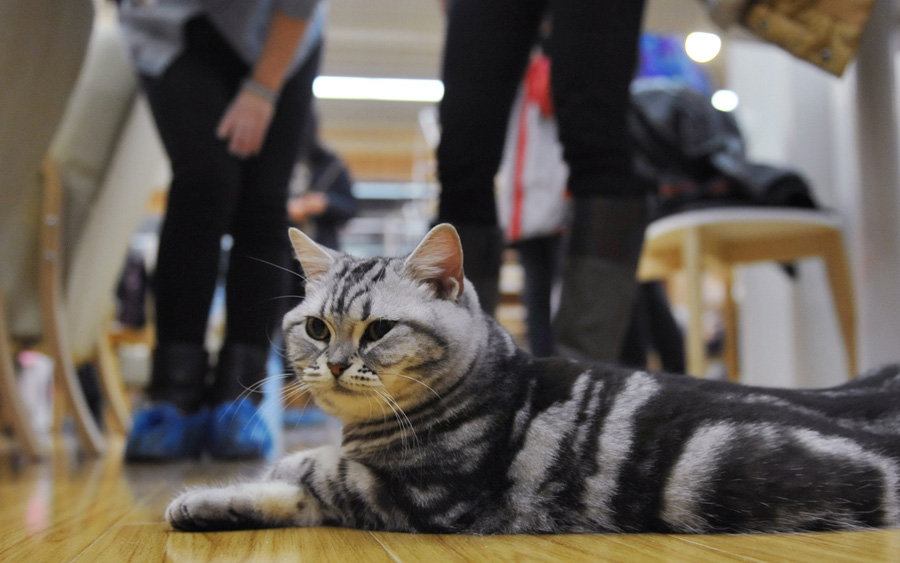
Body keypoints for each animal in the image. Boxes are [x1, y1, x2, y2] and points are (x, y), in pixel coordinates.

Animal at [167, 224, 900, 532]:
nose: (339, 363)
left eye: (377, 331)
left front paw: (248, 480)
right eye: (318, 329)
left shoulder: (414, 494)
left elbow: (309, 471)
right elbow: (289, 483)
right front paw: (205, 499)